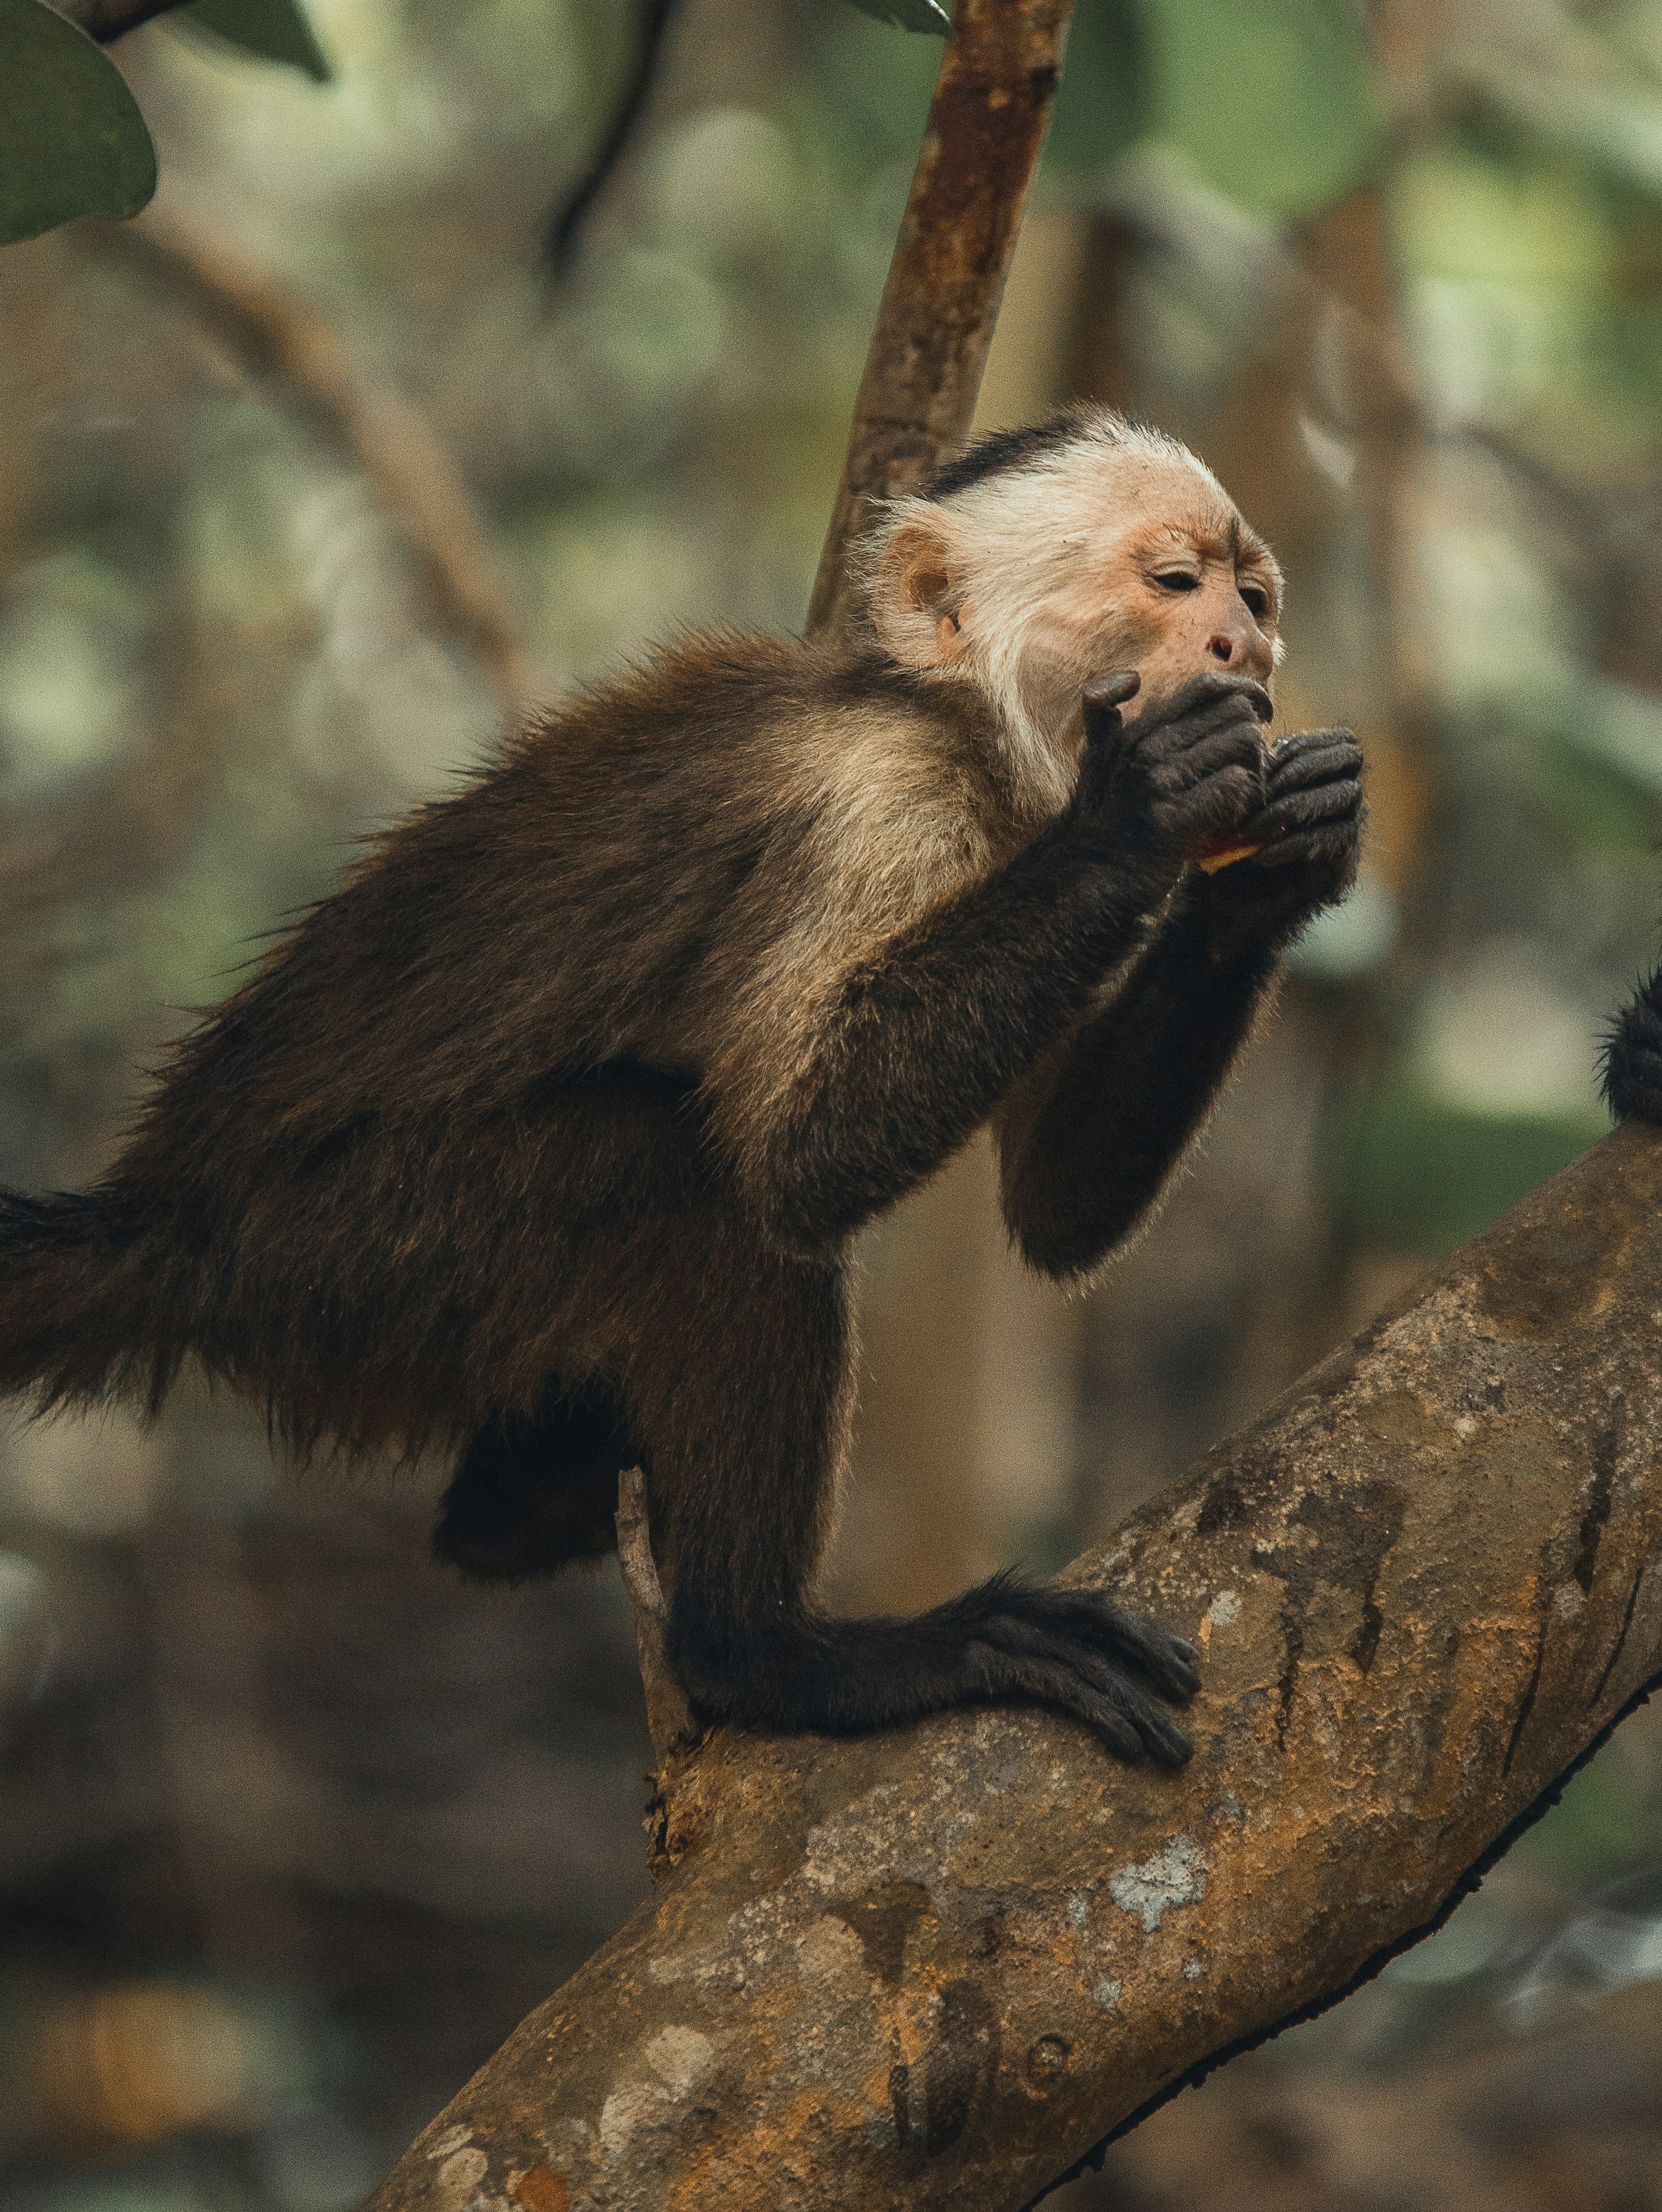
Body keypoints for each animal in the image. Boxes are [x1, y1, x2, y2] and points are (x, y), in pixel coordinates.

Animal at [0, 407, 1363, 1765]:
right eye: (1173, 582)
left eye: (1253, 595)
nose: (1247, 643)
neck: (961, 728)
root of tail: (172, 1211)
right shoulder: (872, 805)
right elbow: (797, 1159)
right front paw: (1136, 815)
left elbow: (1049, 1206)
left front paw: (1272, 868)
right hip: (346, 1255)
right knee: (690, 1189)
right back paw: (770, 1656)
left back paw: (526, 1501)